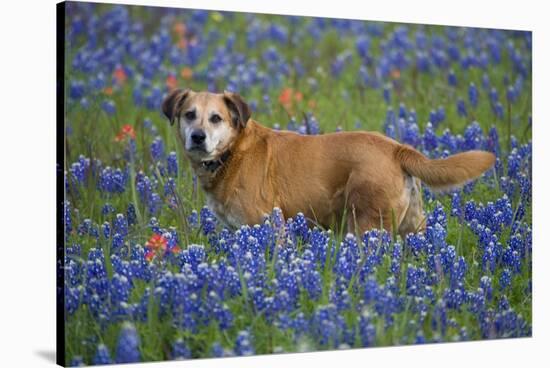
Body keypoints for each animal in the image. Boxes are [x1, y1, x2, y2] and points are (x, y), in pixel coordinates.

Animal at [162, 90, 498, 237]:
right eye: (189, 114)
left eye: (216, 118)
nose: (197, 137)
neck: (231, 153)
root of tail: (396, 148)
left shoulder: (266, 224)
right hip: (412, 228)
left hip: (366, 225)